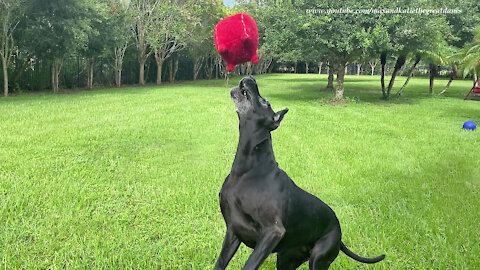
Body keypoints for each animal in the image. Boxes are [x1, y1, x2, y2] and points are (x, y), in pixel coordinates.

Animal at [214, 76, 386, 270]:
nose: (250, 78)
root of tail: (339, 231)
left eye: (266, 102)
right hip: (286, 259)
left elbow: (249, 265)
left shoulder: (272, 232)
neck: (246, 172)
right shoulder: (233, 232)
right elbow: (220, 263)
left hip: (319, 258)